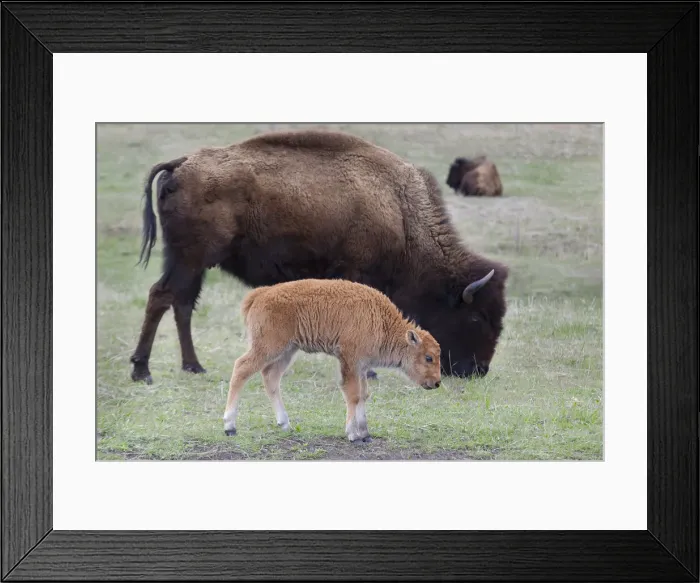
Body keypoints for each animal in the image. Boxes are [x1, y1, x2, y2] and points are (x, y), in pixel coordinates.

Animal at [129, 129, 508, 384]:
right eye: (477, 317)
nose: (478, 370)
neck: (400, 212)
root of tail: (181, 164)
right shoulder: (358, 275)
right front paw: (369, 372)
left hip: (189, 262)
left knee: (180, 303)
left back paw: (193, 367)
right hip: (191, 258)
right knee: (162, 296)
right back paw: (142, 371)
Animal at [223, 278, 442, 442]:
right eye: (428, 357)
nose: (437, 382)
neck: (382, 322)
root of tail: (260, 294)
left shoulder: (362, 366)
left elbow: (363, 394)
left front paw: (365, 434)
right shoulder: (350, 361)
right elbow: (353, 395)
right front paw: (353, 435)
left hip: (287, 351)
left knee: (270, 377)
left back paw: (285, 424)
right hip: (268, 348)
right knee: (241, 368)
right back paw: (230, 426)